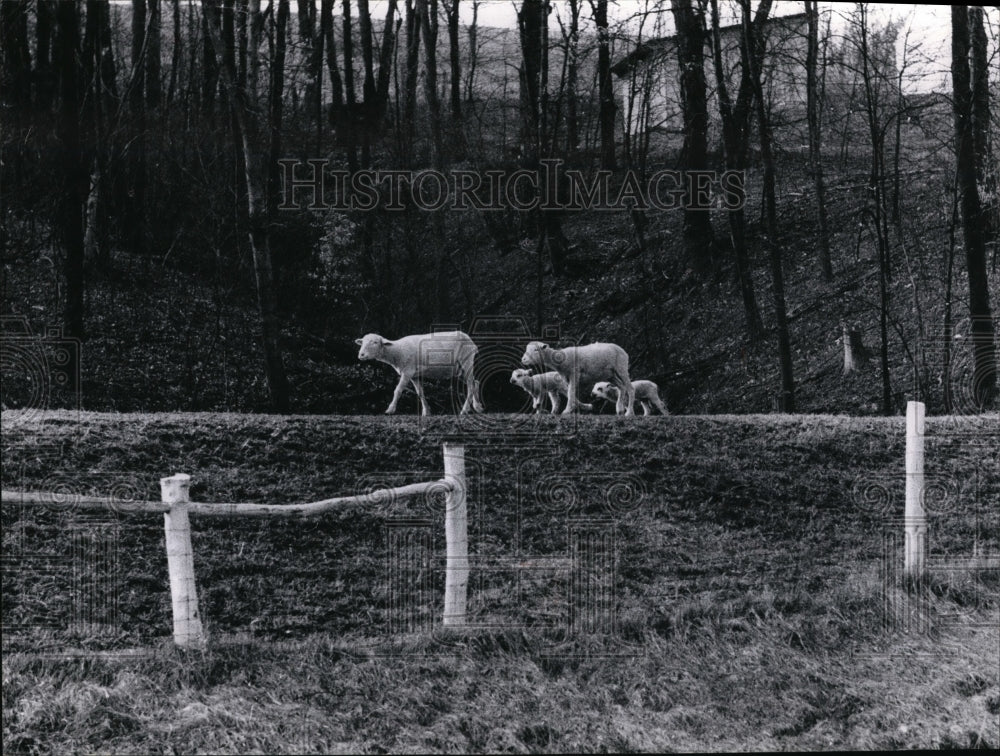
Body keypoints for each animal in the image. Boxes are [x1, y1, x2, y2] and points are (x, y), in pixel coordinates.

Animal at [356, 330, 484, 416]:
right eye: (362, 342)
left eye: (375, 342)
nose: (361, 355)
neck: (397, 351)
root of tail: (471, 341)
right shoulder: (414, 375)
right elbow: (420, 392)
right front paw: (426, 411)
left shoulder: (408, 371)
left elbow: (398, 390)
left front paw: (390, 409)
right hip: (459, 369)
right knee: (475, 382)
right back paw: (478, 407)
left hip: (466, 361)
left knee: (470, 386)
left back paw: (464, 410)